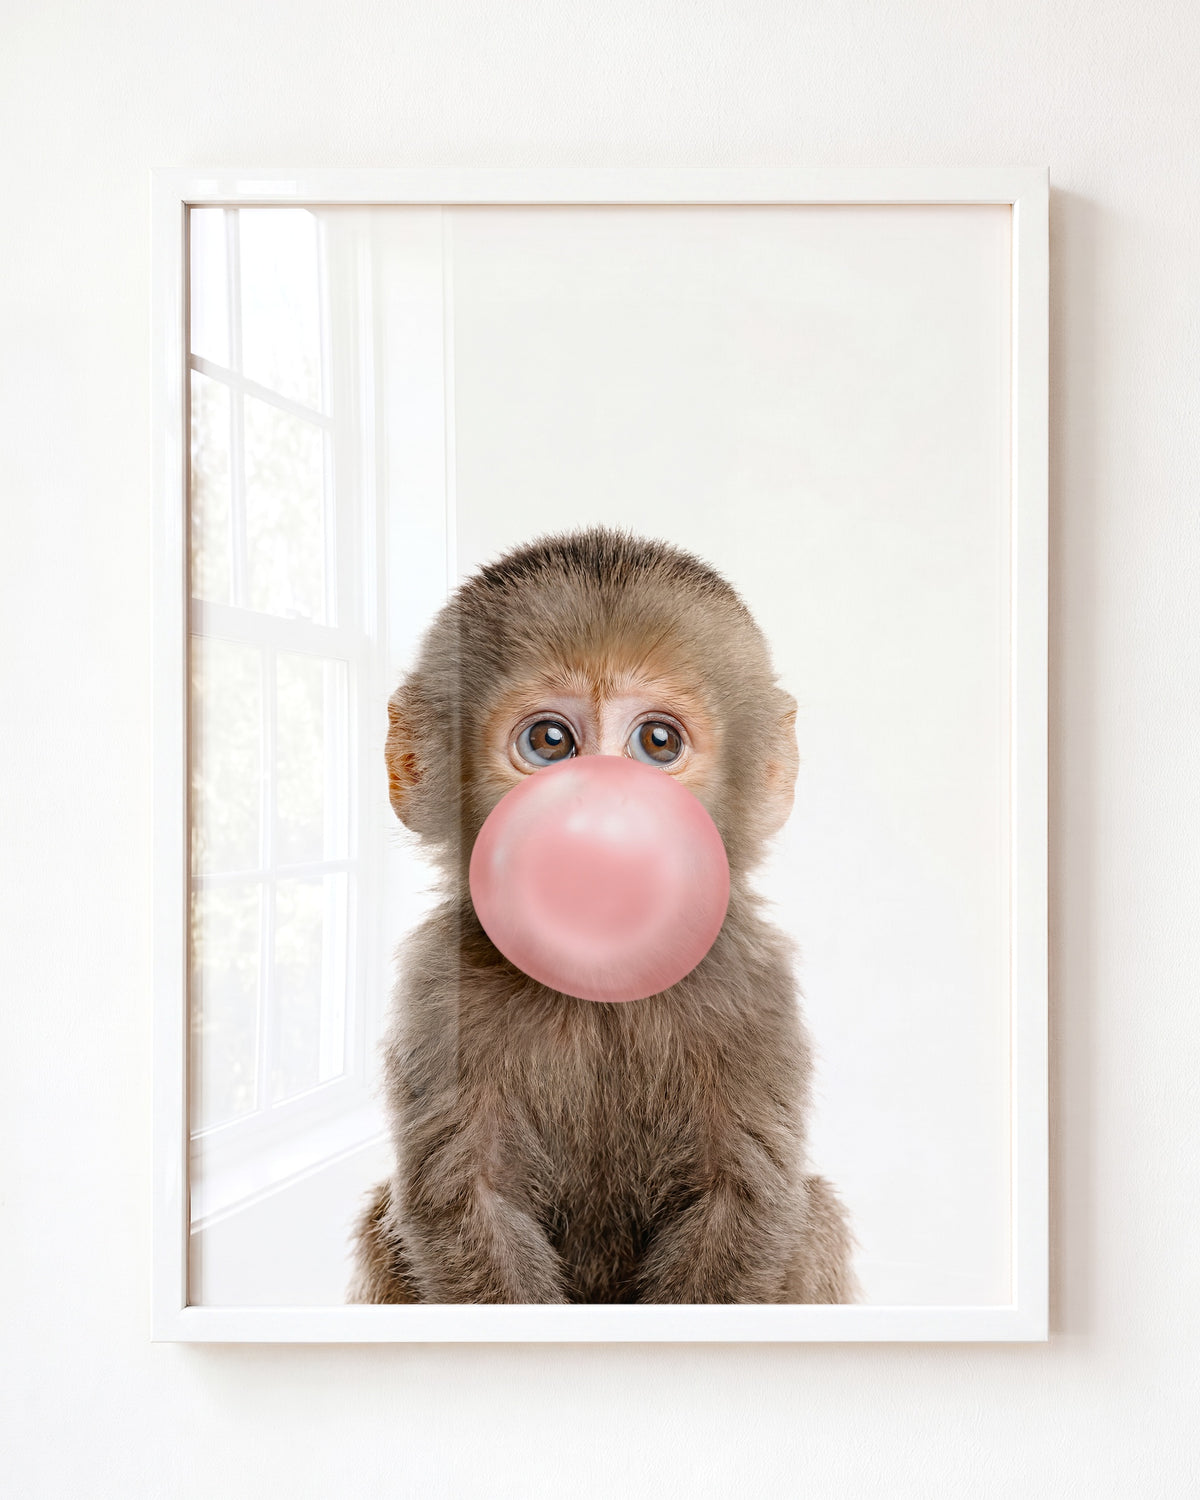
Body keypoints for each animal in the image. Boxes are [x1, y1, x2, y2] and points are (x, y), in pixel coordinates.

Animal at [349, 527, 855, 1304]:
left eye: (657, 743)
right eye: (550, 742)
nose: (602, 812)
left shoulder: (753, 985)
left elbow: (740, 1200)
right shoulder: (440, 987)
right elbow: (468, 1200)